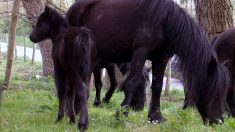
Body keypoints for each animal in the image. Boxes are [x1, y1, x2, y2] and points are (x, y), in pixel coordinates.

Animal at [65, 0, 229, 124]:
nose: (219, 121)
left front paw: (155, 117)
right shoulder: (140, 53)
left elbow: (157, 87)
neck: (164, 21)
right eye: (215, 93)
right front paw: (122, 114)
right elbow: (130, 83)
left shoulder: (161, 59)